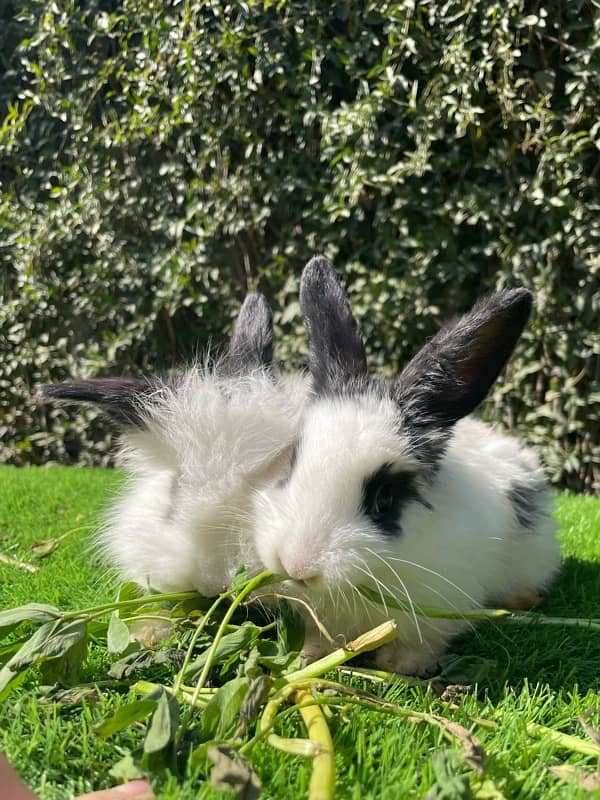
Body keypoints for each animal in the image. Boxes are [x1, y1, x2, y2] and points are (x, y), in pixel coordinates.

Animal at [251, 258, 560, 676]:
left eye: (385, 497)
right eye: (291, 464)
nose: (296, 565)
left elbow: (422, 642)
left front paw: (403, 664)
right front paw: (311, 655)